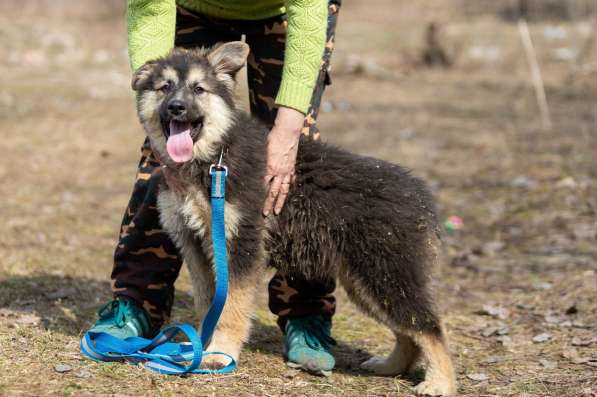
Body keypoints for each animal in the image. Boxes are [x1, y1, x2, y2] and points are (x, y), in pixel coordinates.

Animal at [132, 41, 456, 394]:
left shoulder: (241, 245)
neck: (216, 155)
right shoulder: (197, 248)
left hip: (386, 274)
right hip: (367, 282)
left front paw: (219, 355)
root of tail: (420, 196)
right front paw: (202, 346)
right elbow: (210, 305)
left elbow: (230, 307)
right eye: (164, 88)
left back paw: (440, 382)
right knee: (409, 331)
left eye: (198, 89)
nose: (176, 108)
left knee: (430, 327)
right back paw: (391, 366)